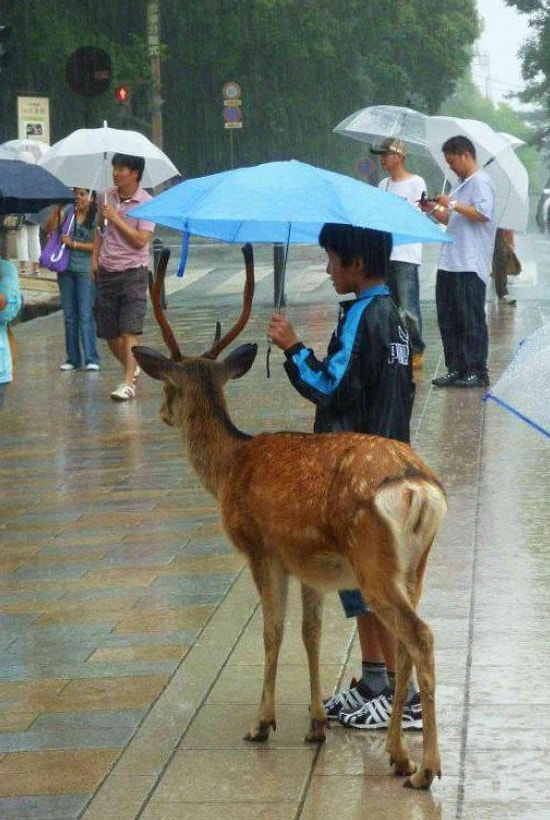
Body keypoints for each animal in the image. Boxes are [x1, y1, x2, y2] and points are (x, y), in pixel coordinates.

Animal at [134, 243, 448, 788]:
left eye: (168, 387)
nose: (163, 414)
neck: (229, 467)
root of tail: (418, 487)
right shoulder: (310, 565)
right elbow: (311, 633)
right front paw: (316, 724)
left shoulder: (262, 548)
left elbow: (273, 631)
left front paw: (263, 723)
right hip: (414, 565)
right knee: (407, 644)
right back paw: (397, 754)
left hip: (374, 562)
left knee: (421, 637)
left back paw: (424, 768)